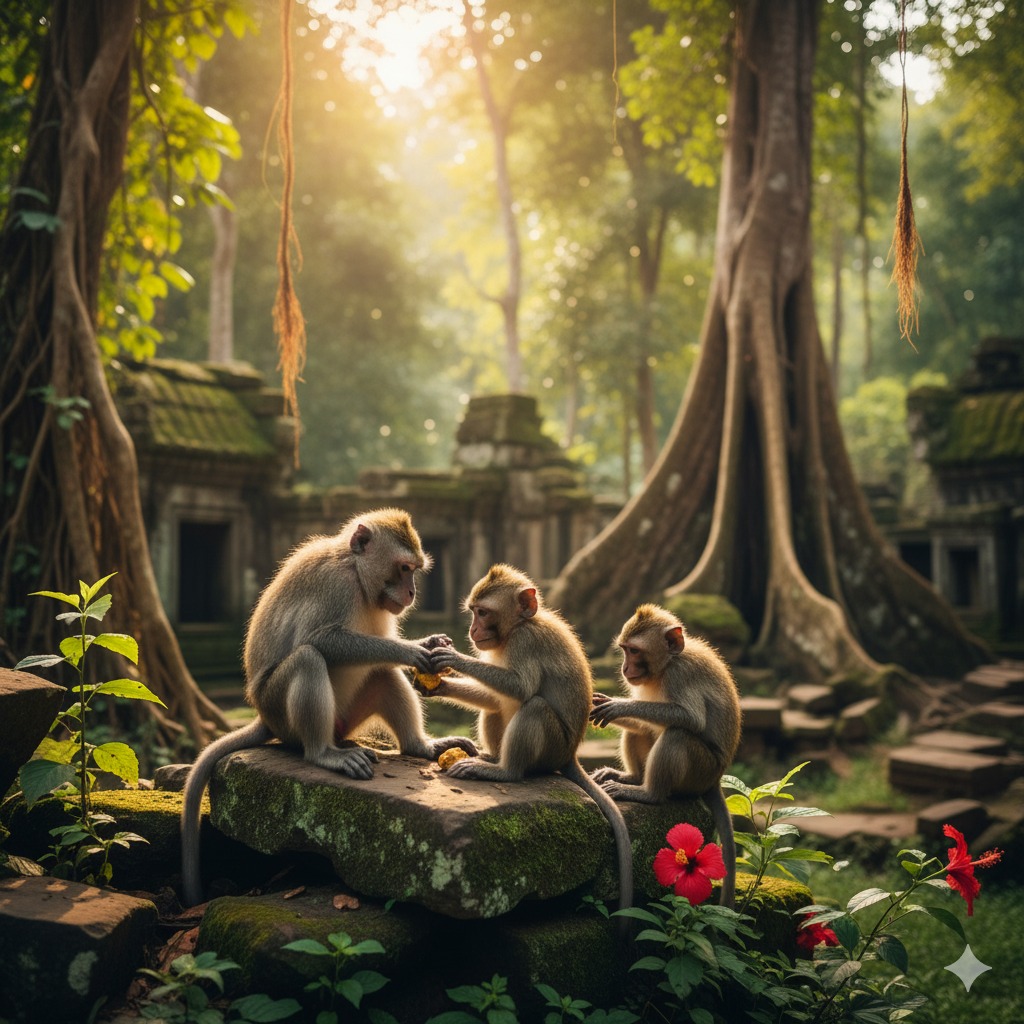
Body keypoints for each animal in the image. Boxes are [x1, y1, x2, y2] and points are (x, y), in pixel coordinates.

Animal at [180, 508, 476, 907]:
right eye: (403, 569)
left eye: (414, 569)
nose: (412, 592)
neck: (357, 574)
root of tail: (263, 717)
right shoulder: (336, 584)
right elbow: (321, 639)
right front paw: (413, 649)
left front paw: (431, 643)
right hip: (280, 711)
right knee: (308, 658)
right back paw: (324, 754)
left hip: (346, 718)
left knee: (380, 672)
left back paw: (420, 747)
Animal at [424, 564, 634, 916]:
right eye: (473, 611)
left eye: (483, 612)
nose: (472, 629)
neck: (519, 626)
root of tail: (571, 755)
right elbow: (496, 696)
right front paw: (438, 685)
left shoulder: (526, 642)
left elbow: (519, 687)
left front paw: (452, 657)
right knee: (496, 706)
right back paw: (491, 757)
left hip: (553, 748)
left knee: (533, 706)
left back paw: (503, 771)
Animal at [589, 604, 742, 908]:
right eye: (624, 649)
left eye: (635, 651)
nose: (625, 668)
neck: (667, 665)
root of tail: (715, 779)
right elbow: (642, 724)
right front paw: (608, 703)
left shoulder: (680, 675)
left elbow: (690, 719)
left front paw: (619, 705)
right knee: (643, 731)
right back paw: (632, 778)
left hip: (700, 770)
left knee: (676, 735)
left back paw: (648, 793)